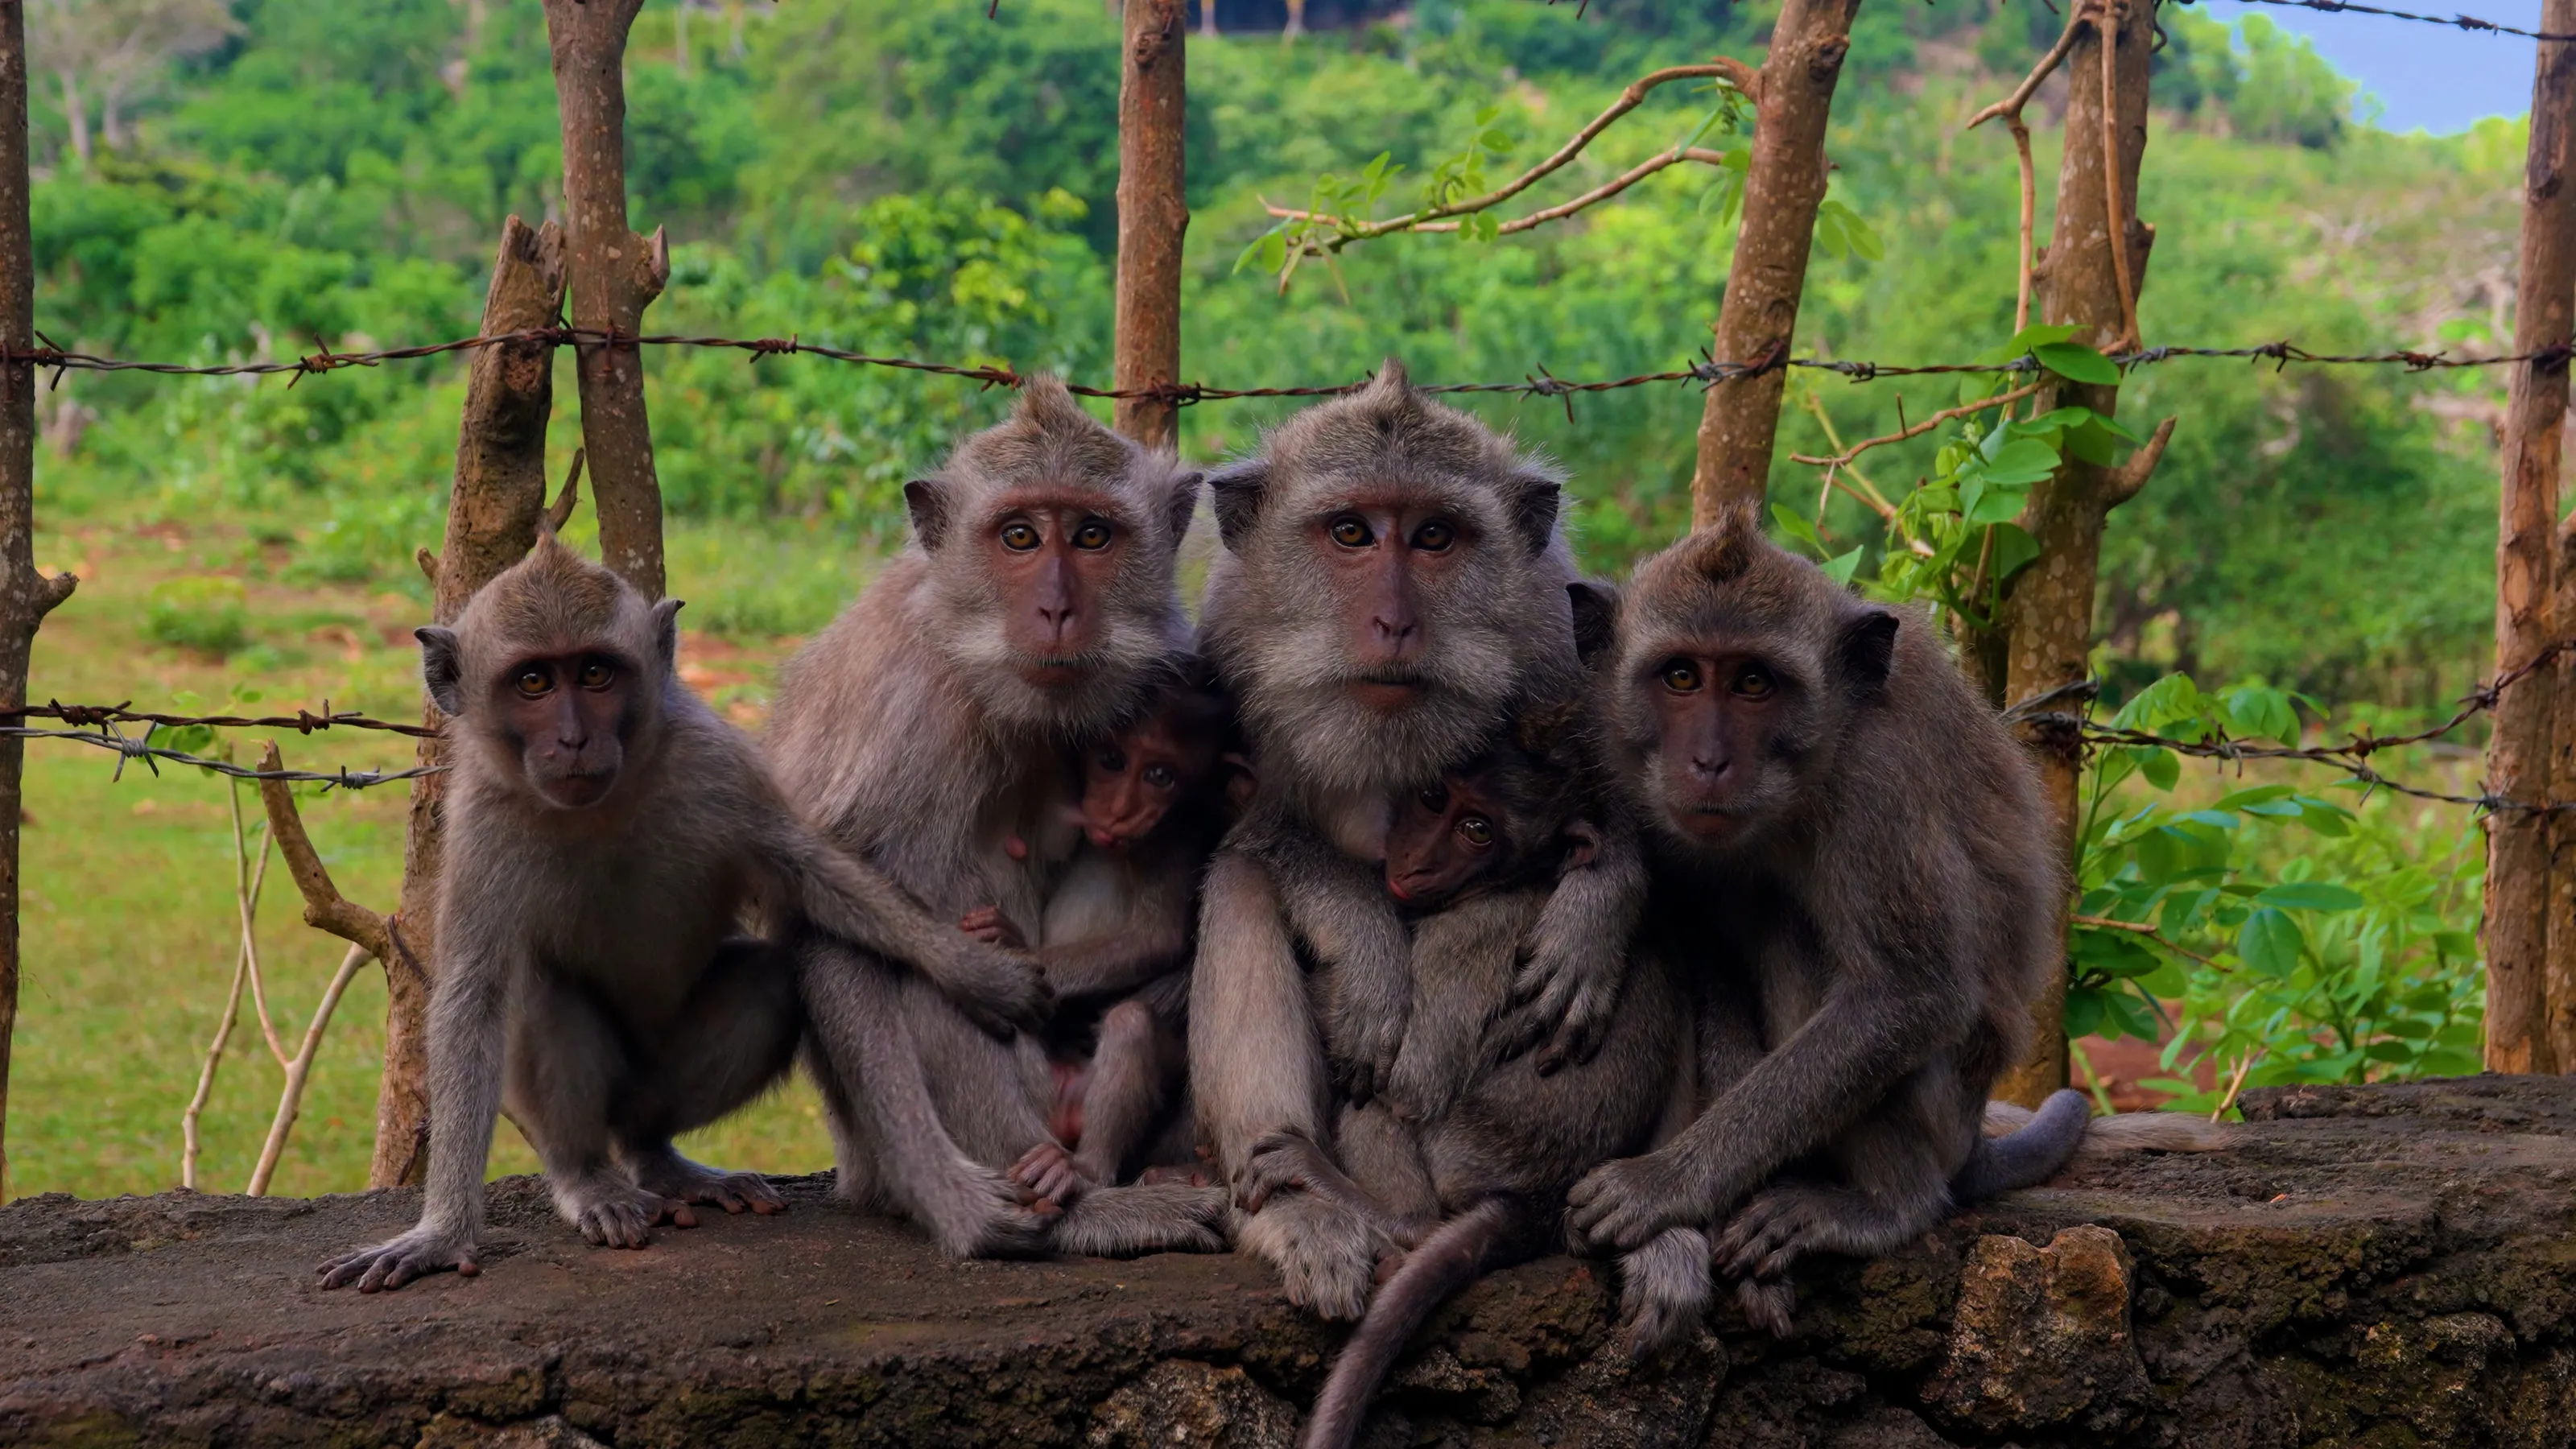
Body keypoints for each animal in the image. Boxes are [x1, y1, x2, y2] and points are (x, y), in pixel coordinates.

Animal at [317, 530, 1043, 1292]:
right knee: (547, 995)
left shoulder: (716, 761)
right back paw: (588, 1178)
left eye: (596, 674)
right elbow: (472, 1000)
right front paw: (439, 1234)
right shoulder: (481, 825)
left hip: (652, 1085)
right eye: (534, 683)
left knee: (761, 990)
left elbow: (810, 874)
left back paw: (662, 1161)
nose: (573, 739)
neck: (603, 806)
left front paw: (974, 971)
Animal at [766, 376, 1229, 1260]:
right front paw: (957, 1206)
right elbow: (824, 914)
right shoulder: (899, 700)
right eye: (1018, 537)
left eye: (1091, 536)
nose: (1055, 608)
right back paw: (1081, 1208)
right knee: (927, 985)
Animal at [1189, 362, 1650, 1320]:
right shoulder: (1227, 649)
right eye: (1351, 533)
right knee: (1241, 880)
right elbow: (1258, 831)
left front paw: (1597, 910)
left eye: (1435, 536)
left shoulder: (1549, 628)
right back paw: (1303, 1209)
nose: (1394, 622)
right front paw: (1367, 951)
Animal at [1561, 512, 2227, 1337]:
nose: (1709, 760)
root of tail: (1968, 1143)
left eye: (1753, 683)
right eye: (1681, 677)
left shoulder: (1876, 784)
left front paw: (1664, 1183)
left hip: (1942, 1106)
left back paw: (1888, 1205)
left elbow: (1911, 993)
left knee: (1811, 947)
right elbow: (1699, 935)